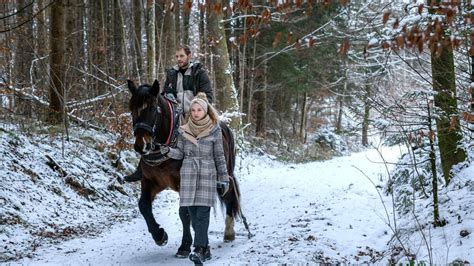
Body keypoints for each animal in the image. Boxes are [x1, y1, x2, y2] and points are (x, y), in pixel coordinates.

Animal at [126, 80, 252, 256]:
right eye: (132, 109)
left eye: (151, 108)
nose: (141, 145)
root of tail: (224, 127)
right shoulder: (150, 182)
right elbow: (144, 206)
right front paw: (160, 235)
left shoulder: (184, 183)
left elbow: (184, 213)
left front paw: (185, 245)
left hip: (224, 175)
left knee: (229, 196)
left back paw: (229, 232)